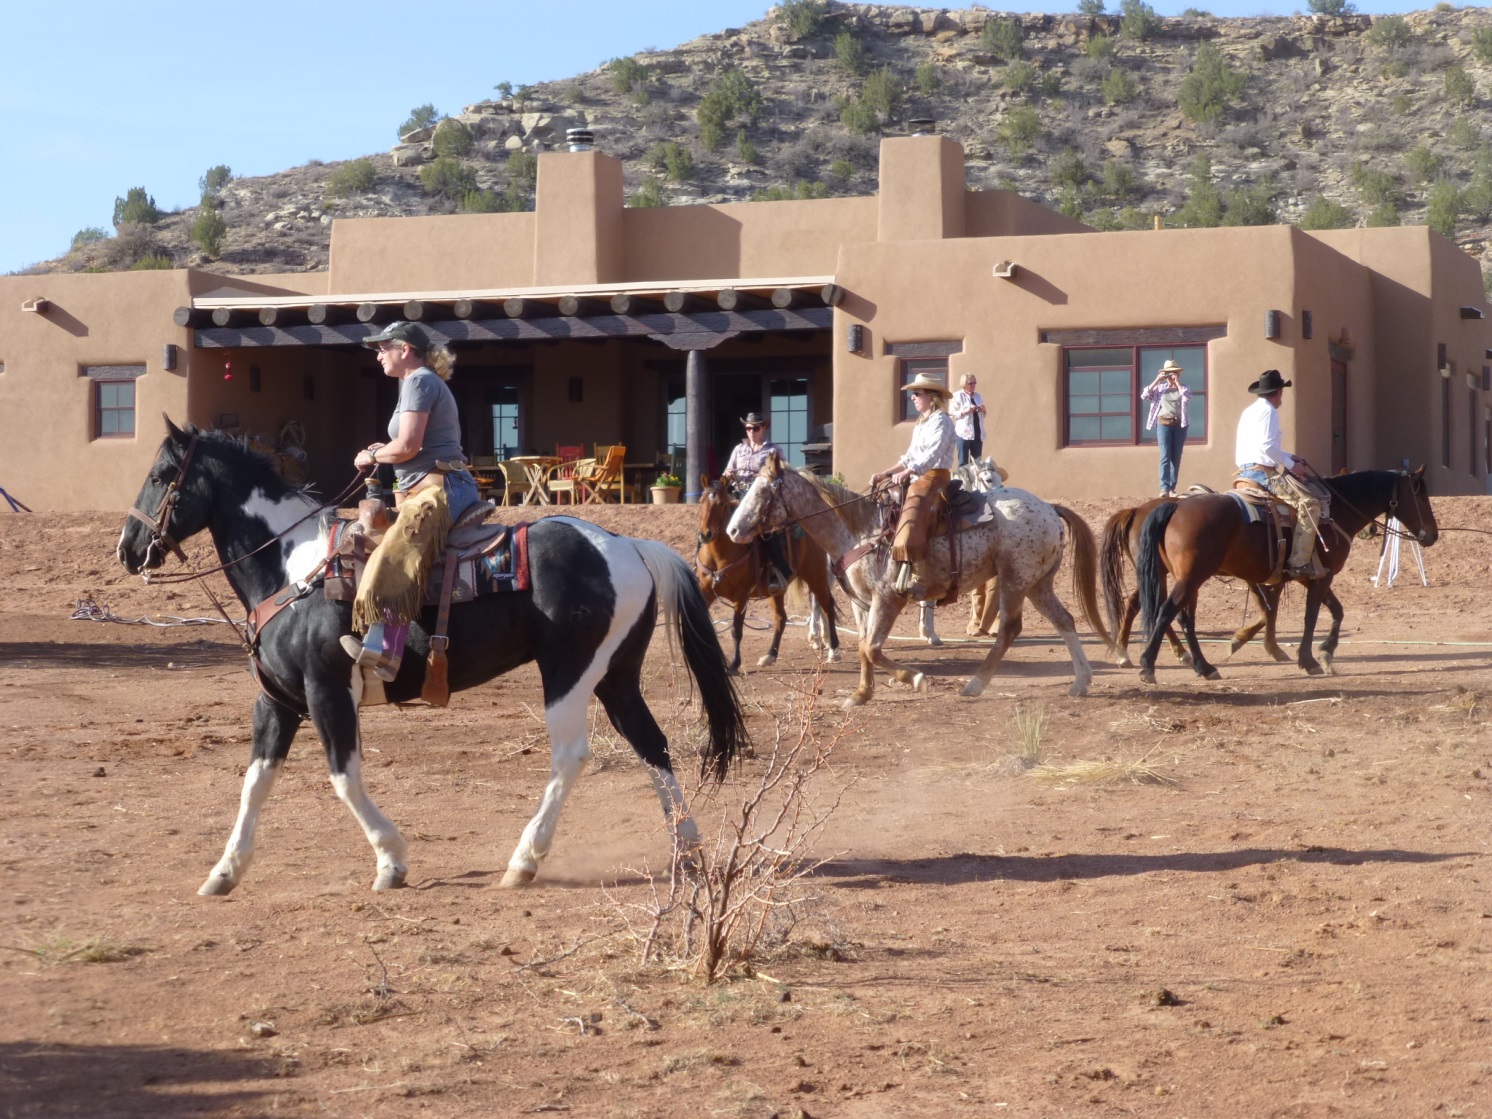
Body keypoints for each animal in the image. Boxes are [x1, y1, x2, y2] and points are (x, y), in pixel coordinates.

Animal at [117, 423, 751, 901]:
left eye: (159, 477)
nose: (127, 548)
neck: (293, 569)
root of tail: (630, 546)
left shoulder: (327, 692)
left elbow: (343, 777)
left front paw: (391, 862)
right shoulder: (278, 701)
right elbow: (255, 782)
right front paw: (224, 872)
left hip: (569, 674)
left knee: (571, 755)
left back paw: (524, 861)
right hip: (616, 678)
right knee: (652, 745)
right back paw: (687, 848)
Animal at [695, 474, 841, 674]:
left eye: (722, 503)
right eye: (700, 502)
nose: (705, 535)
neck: (720, 555)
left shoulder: (741, 596)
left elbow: (736, 630)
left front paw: (734, 664)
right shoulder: (705, 593)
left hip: (816, 576)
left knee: (827, 606)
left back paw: (833, 650)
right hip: (777, 590)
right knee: (781, 618)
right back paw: (770, 655)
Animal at [728, 450, 1116, 704]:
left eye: (763, 491)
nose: (732, 530)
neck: (859, 530)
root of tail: (1049, 508)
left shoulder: (888, 598)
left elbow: (872, 647)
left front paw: (914, 678)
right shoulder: (862, 603)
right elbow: (864, 645)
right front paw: (861, 693)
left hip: (1014, 579)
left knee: (1009, 629)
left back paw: (975, 684)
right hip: (1038, 583)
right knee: (1064, 621)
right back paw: (1081, 681)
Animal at [1104, 498, 1289, 671]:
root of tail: (1136, 511)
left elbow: (1269, 607)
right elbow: (1270, 607)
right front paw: (1265, 646)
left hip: (1156, 574)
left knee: (1140, 604)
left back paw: (1129, 653)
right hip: (1166, 575)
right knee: (1159, 607)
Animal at [1133, 465, 1438, 683]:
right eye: (1421, 496)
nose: (1433, 535)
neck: (1335, 510)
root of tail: (1176, 506)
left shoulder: (1313, 576)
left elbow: (1336, 611)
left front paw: (1326, 652)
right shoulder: (1322, 577)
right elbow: (1311, 616)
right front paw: (1310, 660)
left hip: (1190, 580)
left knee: (1184, 619)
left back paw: (1204, 667)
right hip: (1191, 578)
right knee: (1167, 612)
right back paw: (1148, 666)